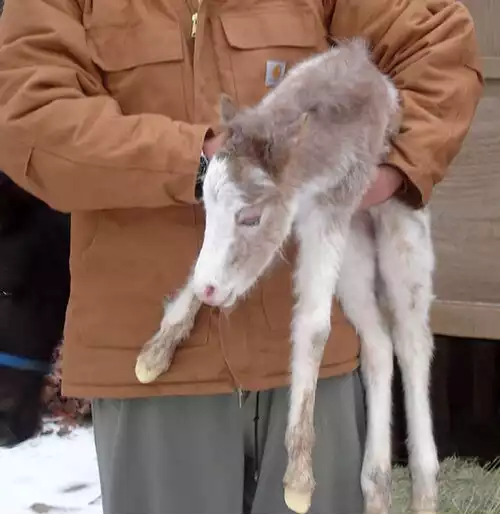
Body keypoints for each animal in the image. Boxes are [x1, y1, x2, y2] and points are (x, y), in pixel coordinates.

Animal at [136, 40, 438, 512]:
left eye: (251, 217)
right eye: (205, 204)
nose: (210, 290)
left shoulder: (334, 206)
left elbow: (313, 327)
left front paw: (297, 481)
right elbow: (205, 267)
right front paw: (153, 356)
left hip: (402, 239)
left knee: (412, 342)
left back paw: (422, 487)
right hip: (355, 254)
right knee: (377, 342)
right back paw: (376, 483)